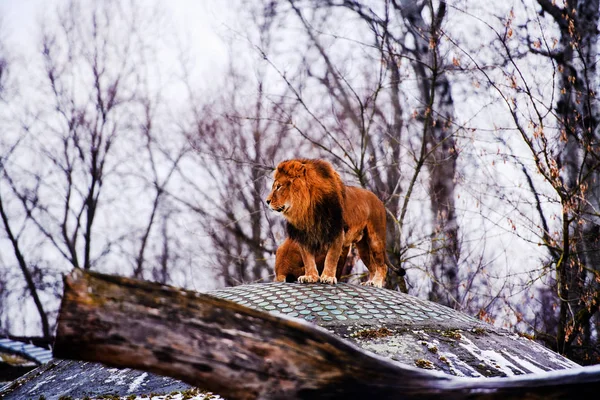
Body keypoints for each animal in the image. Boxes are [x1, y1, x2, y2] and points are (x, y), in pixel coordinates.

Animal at [268, 158, 390, 286]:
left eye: (278, 187)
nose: (267, 201)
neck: (307, 208)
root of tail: (378, 199)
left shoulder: (336, 232)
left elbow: (331, 257)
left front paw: (328, 277)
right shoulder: (303, 235)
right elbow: (308, 259)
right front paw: (310, 277)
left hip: (375, 239)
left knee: (382, 266)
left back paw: (376, 283)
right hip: (363, 248)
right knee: (372, 267)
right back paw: (370, 282)